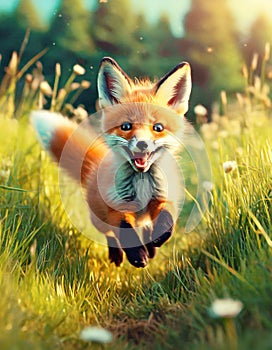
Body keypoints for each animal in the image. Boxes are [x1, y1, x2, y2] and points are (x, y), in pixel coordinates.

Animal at [31, 57, 191, 268]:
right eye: (126, 126)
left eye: (158, 128)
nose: (142, 144)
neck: (142, 183)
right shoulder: (116, 207)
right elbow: (125, 230)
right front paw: (137, 255)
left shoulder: (165, 197)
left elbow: (167, 218)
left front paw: (156, 239)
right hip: (98, 219)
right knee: (110, 234)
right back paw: (118, 254)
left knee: (145, 226)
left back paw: (150, 246)